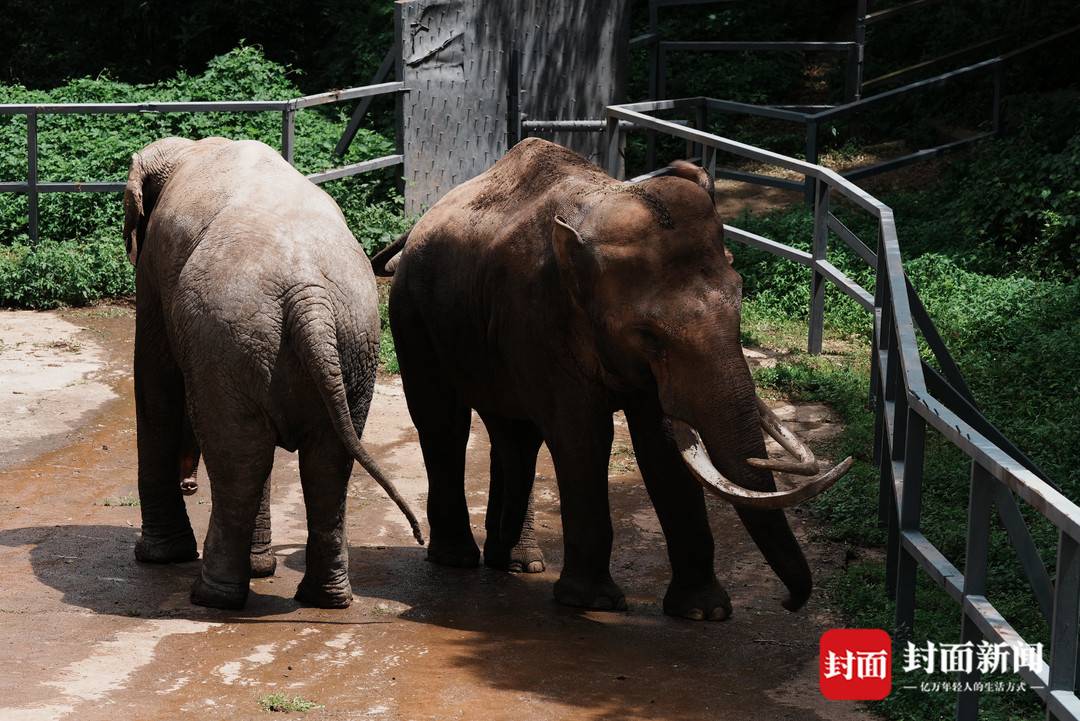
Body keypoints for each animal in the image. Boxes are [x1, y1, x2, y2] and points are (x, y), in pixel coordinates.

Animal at [125, 133, 421, 608]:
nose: (188, 483)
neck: (190, 148)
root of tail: (308, 294)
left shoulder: (154, 264)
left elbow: (157, 378)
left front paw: (157, 558)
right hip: (348, 341)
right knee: (323, 459)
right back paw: (324, 598)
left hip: (231, 335)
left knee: (240, 456)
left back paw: (211, 597)